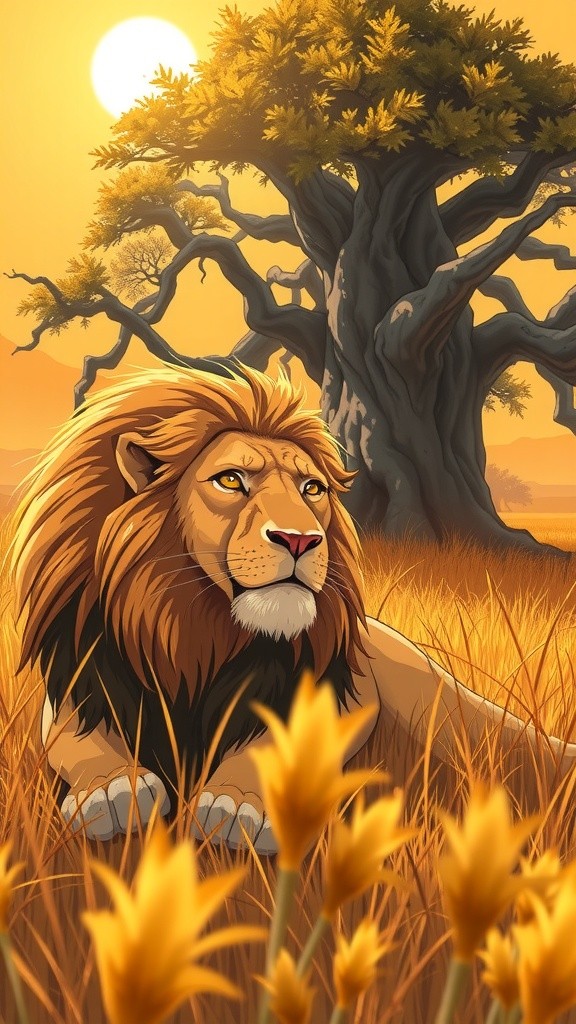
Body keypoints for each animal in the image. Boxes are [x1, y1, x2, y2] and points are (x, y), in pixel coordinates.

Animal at [10, 364, 576, 853]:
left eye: (312, 488)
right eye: (231, 479)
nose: (301, 539)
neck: (191, 632)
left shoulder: (336, 694)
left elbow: (273, 745)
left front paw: (234, 807)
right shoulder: (74, 688)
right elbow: (83, 742)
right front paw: (111, 791)